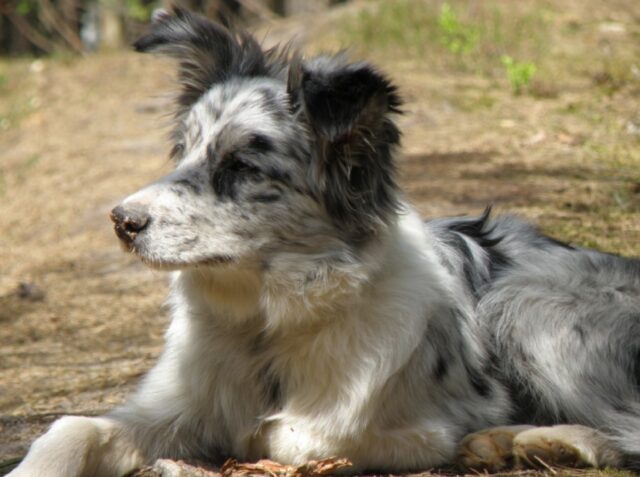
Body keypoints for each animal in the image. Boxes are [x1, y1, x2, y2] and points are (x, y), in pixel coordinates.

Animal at [8, 7, 640, 476]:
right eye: (182, 152)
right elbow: (71, 428)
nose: (121, 220)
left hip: (523, 303)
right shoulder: (173, 404)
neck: (264, 331)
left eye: (241, 167)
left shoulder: (414, 424)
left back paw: (525, 440)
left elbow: (293, 436)